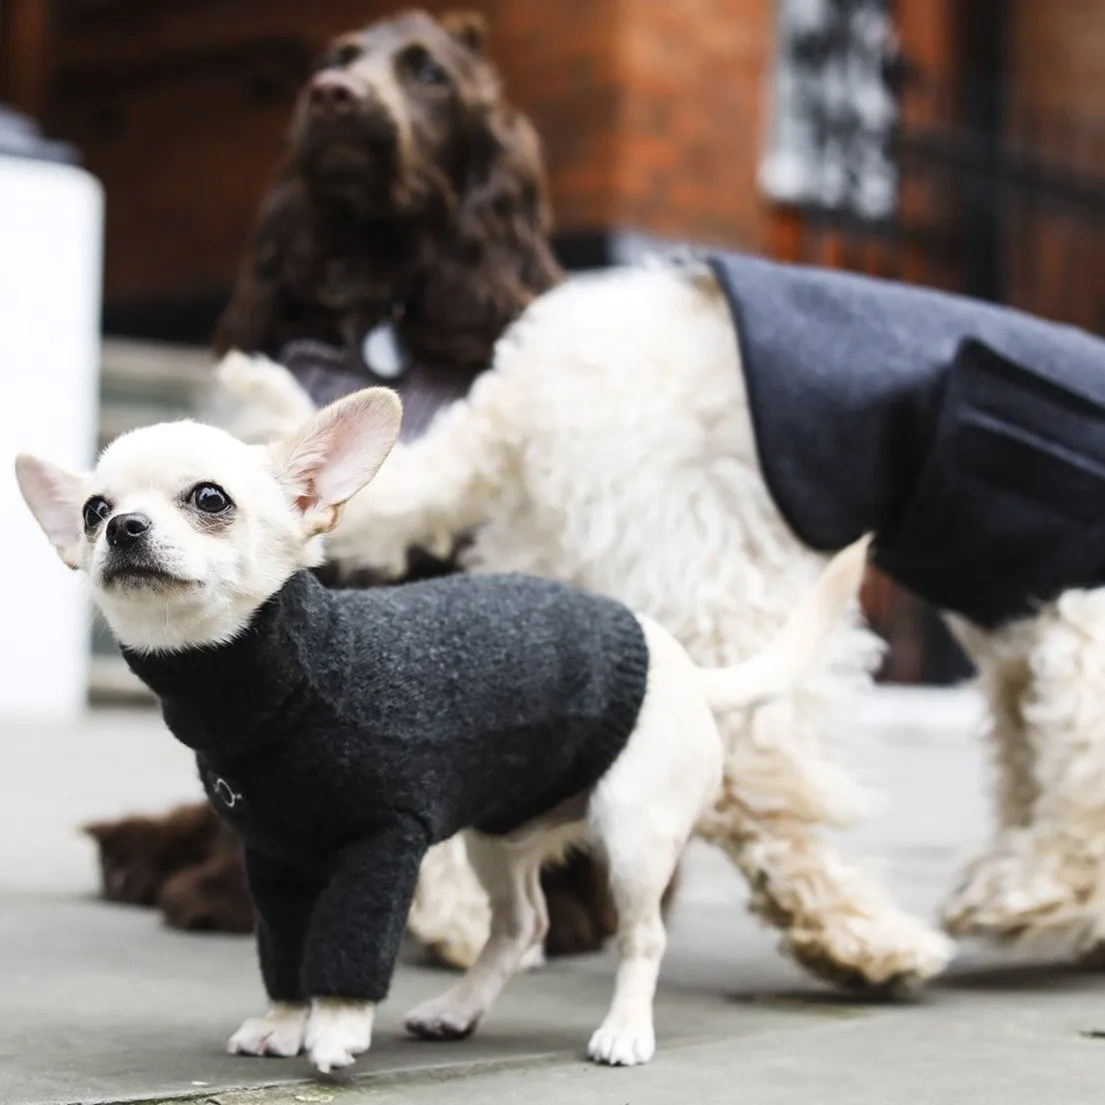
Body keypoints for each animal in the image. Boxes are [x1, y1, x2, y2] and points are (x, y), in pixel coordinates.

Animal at [211, 256, 1105, 994]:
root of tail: (524, 379)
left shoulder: (1028, 630)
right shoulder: (1079, 615)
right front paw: (1029, 893)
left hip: (569, 606)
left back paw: (457, 924)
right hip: (724, 578)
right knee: (756, 778)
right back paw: (858, 937)